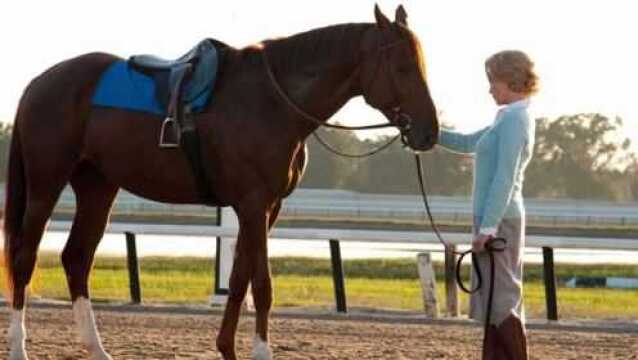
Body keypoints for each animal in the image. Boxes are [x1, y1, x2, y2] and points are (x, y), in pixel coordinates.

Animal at [2, 5, 440, 360]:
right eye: (402, 67)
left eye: (422, 64)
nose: (429, 132)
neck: (273, 101)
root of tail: (40, 82)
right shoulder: (253, 204)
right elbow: (261, 284)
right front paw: (261, 352)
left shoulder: (265, 208)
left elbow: (238, 279)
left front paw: (227, 348)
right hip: (46, 184)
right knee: (25, 259)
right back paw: (20, 347)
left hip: (97, 188)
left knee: (76, 259)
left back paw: (97, 349)